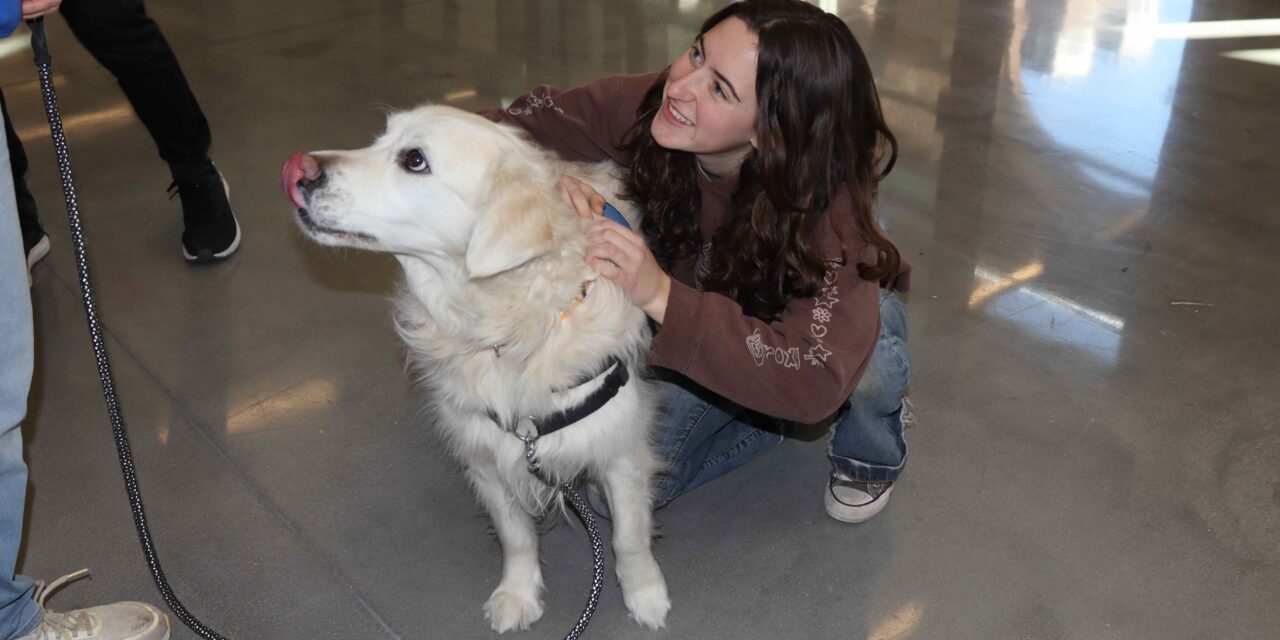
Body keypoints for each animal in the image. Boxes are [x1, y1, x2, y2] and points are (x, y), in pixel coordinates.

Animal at [282, 104, 670, 629]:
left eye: (415, 159)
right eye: (381, 139)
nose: (296, 169)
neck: (508, 331)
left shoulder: (620, 448)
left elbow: (628, 537)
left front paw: (645, 594)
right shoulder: (487, 453)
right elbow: (516, 536)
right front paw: (518, 594)